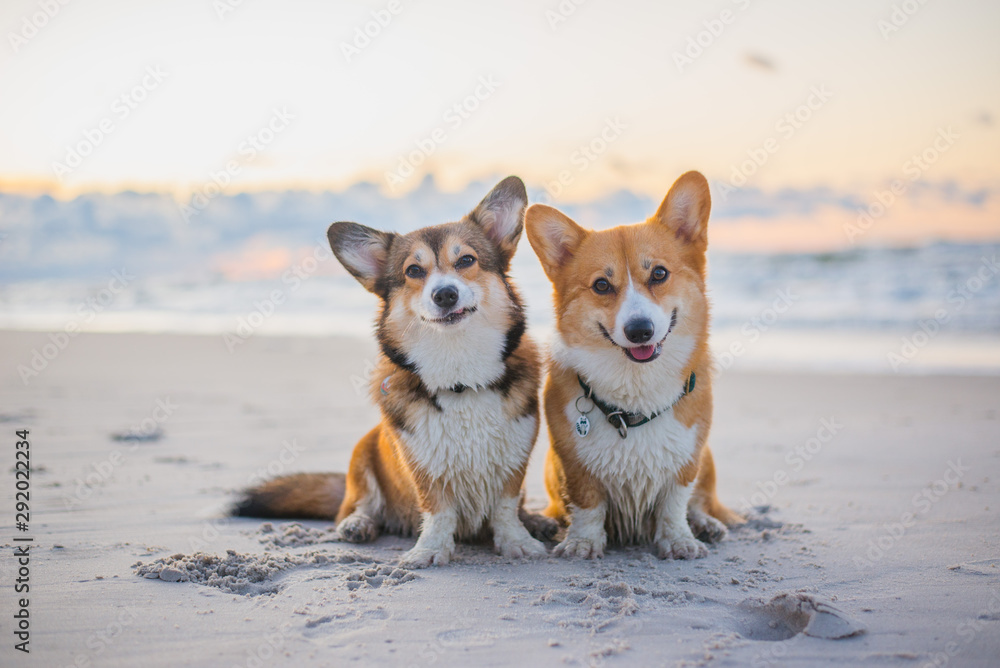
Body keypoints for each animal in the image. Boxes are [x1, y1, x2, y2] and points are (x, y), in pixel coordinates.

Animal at [236, 176, 556, 564]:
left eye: (466, 260)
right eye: (413, 271)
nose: (444, 294)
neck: (460, 375)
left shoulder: (513, 460)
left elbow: (506, 508)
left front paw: (518, 541)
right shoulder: (422, 463)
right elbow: (438, 509)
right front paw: (431, 550)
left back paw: (538, 521)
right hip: (363, 453)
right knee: (355, 506)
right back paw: (358, 524)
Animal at [528, 171, 740, 560]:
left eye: (659, 274)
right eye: (601, 285)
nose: (640, 330)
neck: (636, 391)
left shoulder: (688, 458)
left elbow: (675, 501)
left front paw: (678, 540)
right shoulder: (573, 463)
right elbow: (587, 503)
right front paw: (582, 542)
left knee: (701, 502)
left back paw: (706, 524)